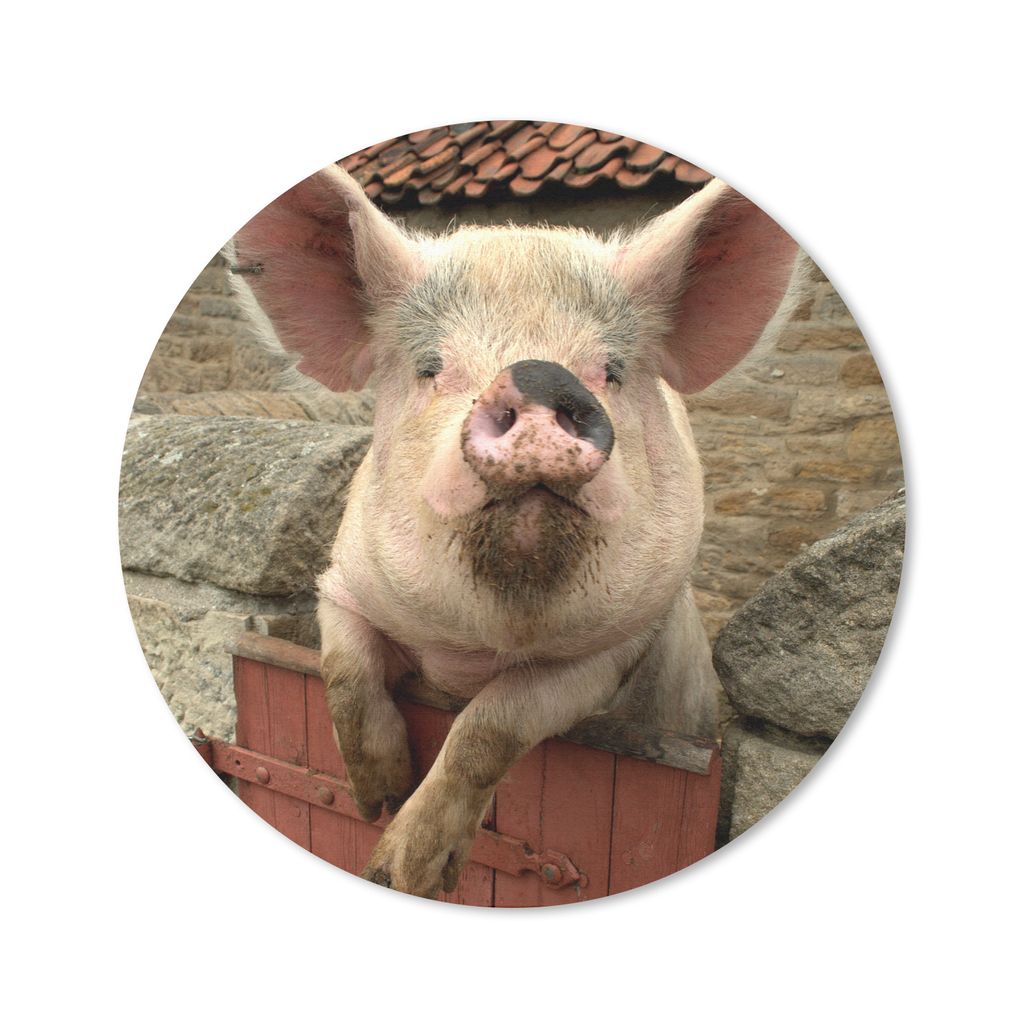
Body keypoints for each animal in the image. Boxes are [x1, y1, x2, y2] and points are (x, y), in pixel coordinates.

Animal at [227, 161, 800, 898]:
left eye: (612, 369)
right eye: (431, 366)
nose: (537, 378)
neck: (480, 646)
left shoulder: (612, 651)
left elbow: (491, 726)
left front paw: (404, 872)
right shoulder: (345, 583)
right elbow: (344, 671)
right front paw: (375, 799)